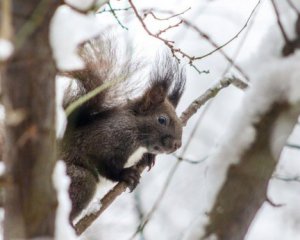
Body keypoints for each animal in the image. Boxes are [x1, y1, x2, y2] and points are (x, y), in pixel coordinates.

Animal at [60, 36, 186, 222]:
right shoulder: (103, 141)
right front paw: (126, 174)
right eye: (162, 119)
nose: (177, 144)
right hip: (78, 180)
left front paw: (149, 157)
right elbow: (107, 167)